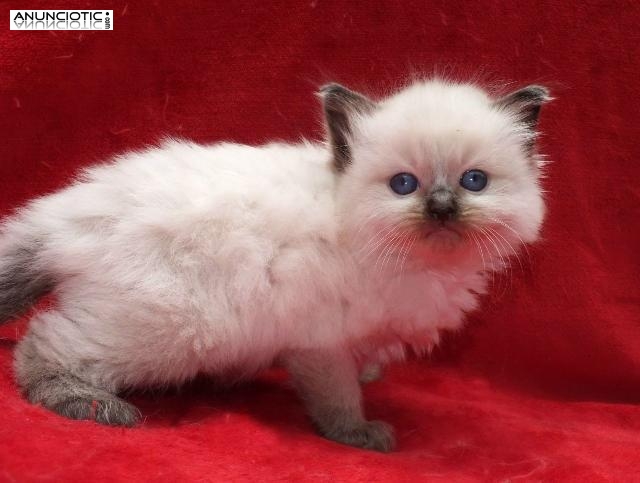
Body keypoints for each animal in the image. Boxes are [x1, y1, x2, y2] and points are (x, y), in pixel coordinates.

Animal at [0, 79, 552, 454]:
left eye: (474, 181)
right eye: (404, 185)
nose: (440, 208)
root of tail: (69, 212)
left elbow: (363, 367)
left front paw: (372, 374)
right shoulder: (319, 342)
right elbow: (338, 397)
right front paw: (358, 433)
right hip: (170, 326)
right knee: (42, 345)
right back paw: (89, 404)